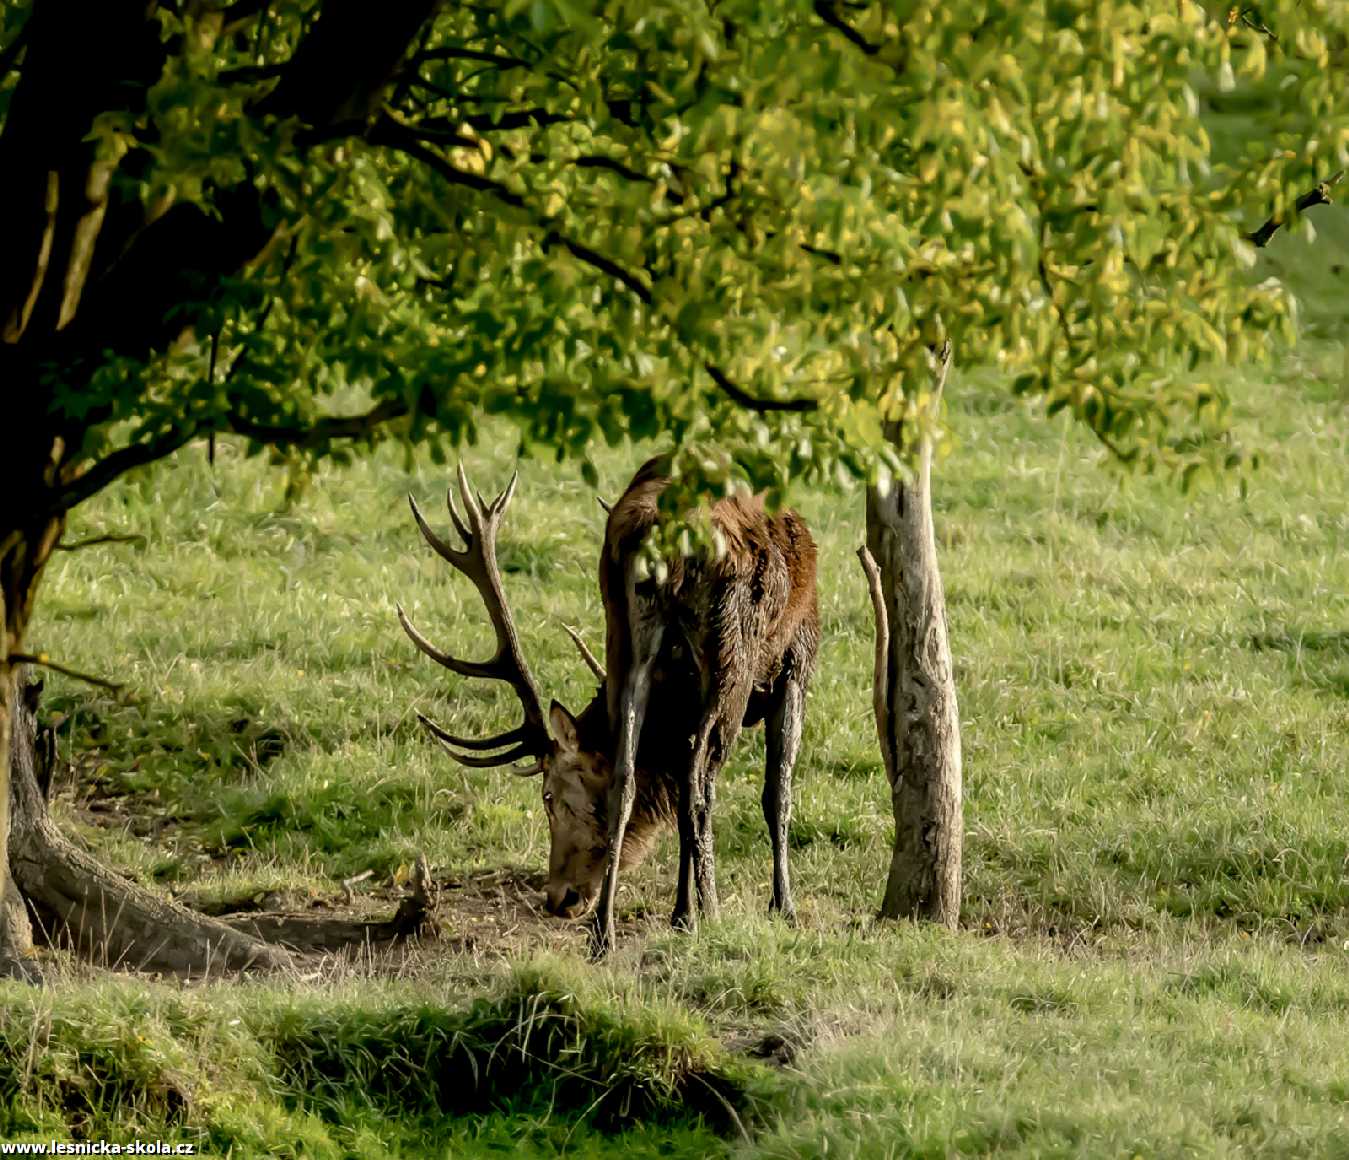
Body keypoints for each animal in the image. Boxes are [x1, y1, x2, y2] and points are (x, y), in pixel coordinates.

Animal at [396, 458, 820, 954]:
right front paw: (782, 908)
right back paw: (708, 911)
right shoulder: (797, 661)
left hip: (624, 636)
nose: (558, 898)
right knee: (699, 787)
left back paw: (606, 929)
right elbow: (775, 793)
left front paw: (684, 914)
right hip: (729, 652)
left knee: (629, 776)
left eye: (548, 796)